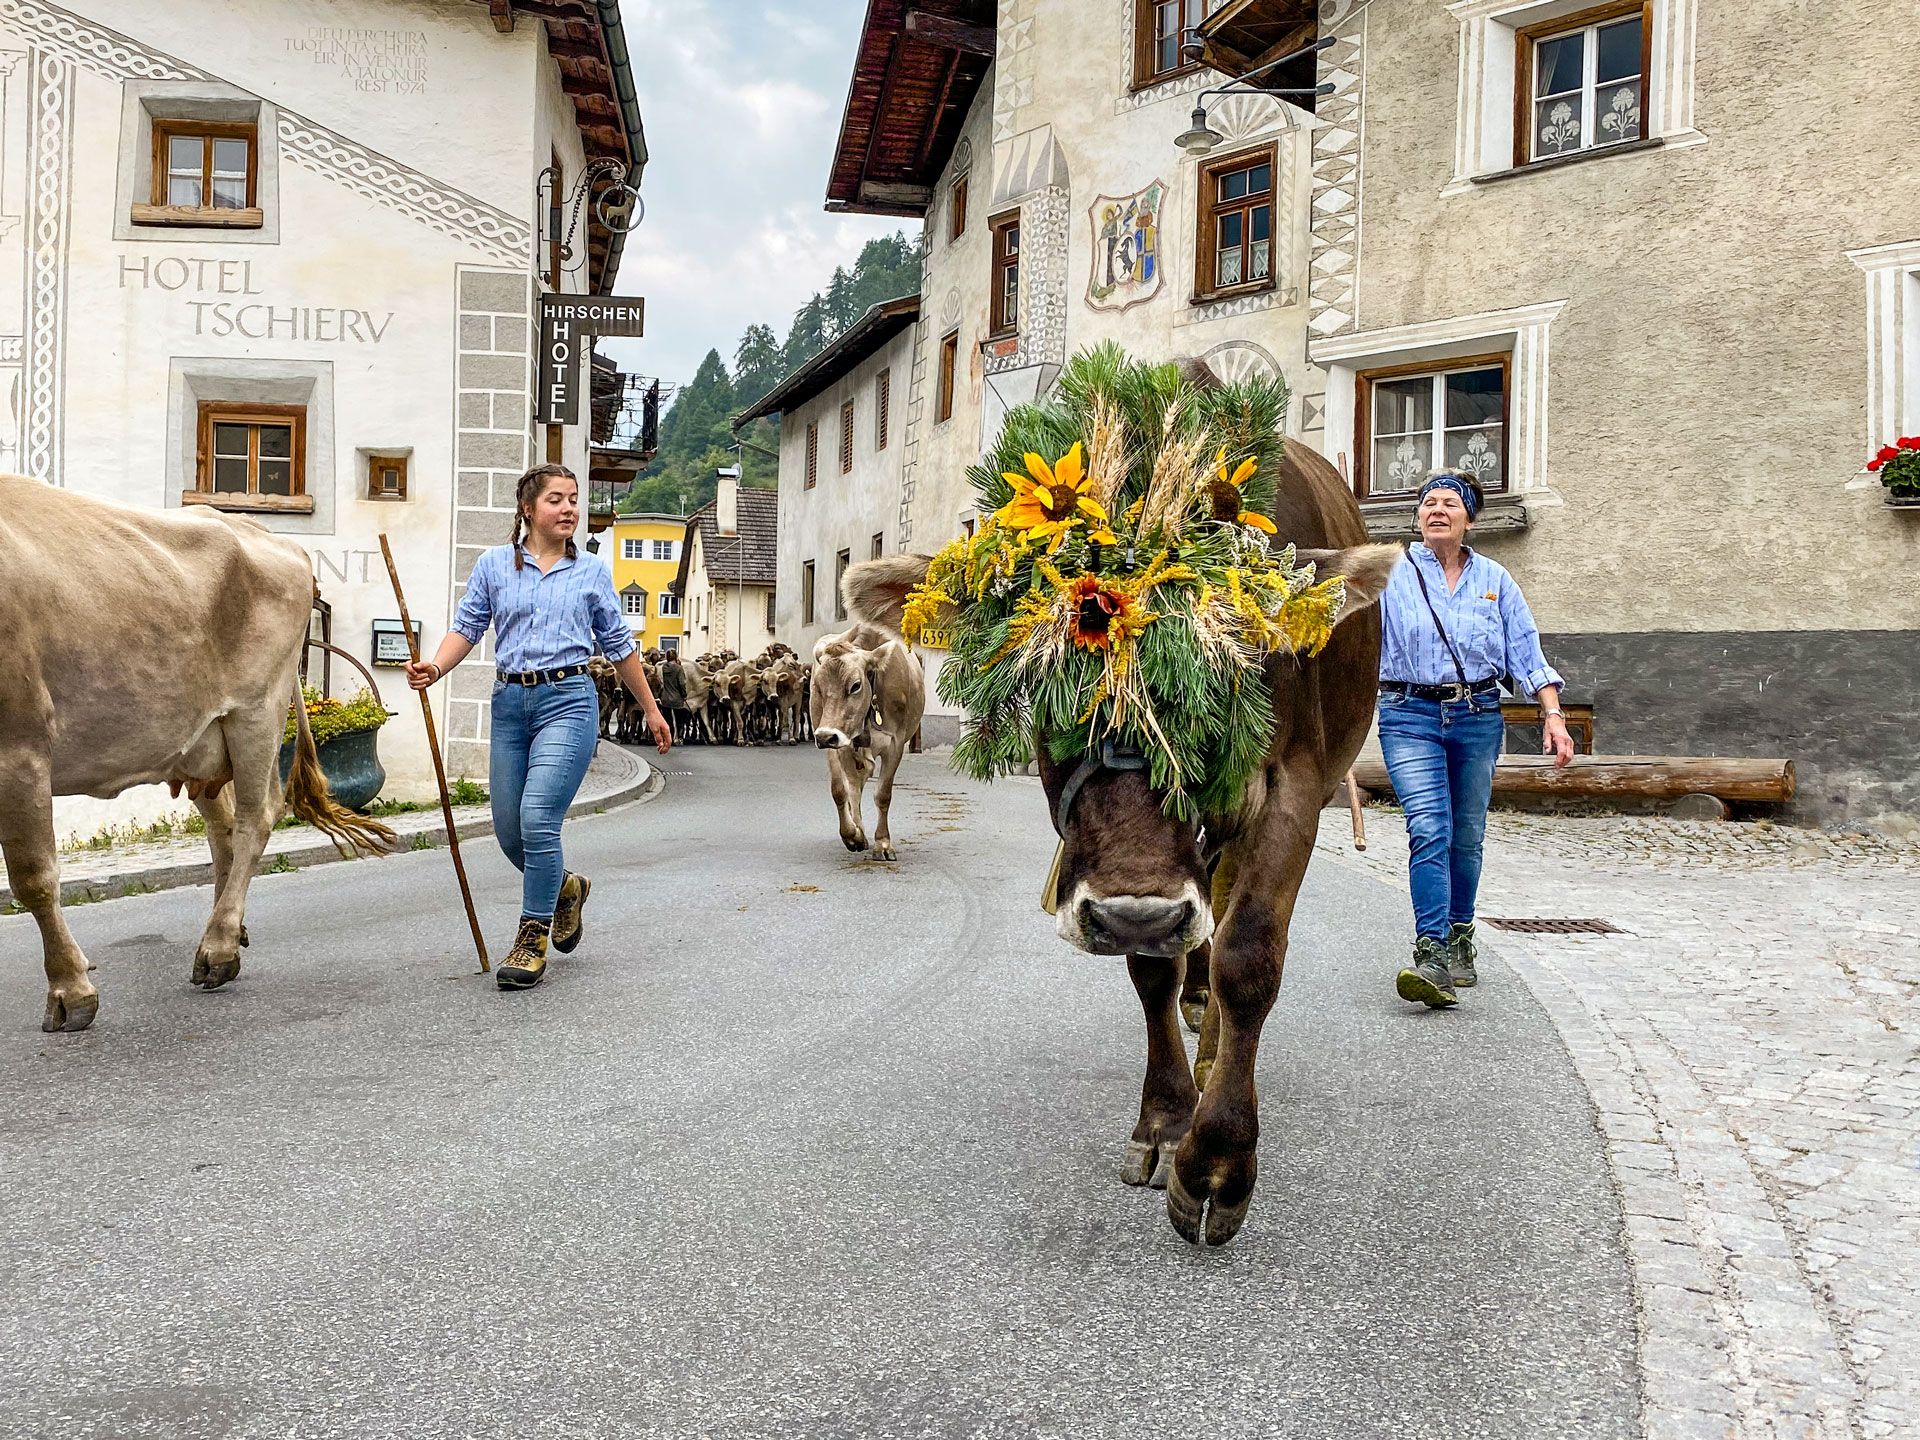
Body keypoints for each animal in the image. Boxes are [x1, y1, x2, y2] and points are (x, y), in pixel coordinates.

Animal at [0, 476, 396, 1033]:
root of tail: (261, 532)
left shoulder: (21, 747)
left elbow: (34, 878)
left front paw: (70, 992)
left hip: (257, 712)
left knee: (255, 819)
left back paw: (219, 948)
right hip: (206, 738)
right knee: (224, 828)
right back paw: (229, 933)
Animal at [809, 621, 926, 863]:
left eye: (855, 685)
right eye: (817, 686)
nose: (824, 737)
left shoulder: (895, 744)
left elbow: (883, 794)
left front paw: (883, 843)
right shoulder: (838, 741)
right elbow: (840, 790)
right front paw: (852, 835)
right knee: (854, 787)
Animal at [842, 436, 1397, 1245]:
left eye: (1226, 681)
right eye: (1049, 685)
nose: (1139, 913)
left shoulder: (1295, 788)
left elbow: (1249, 957)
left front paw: (1217, 1161)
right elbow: (1153, 974)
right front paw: (1167, 1125)